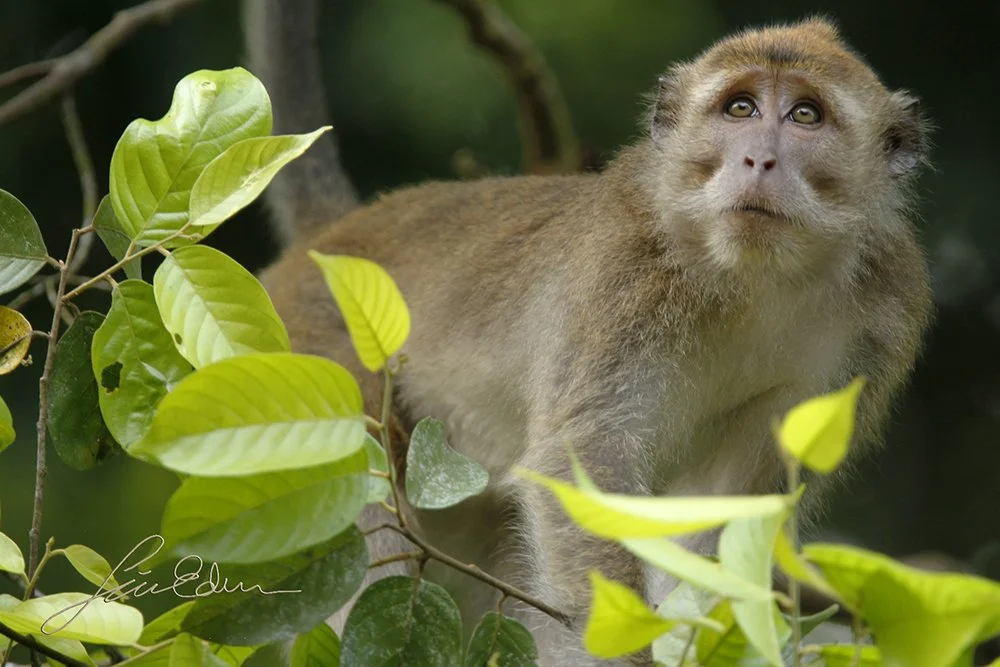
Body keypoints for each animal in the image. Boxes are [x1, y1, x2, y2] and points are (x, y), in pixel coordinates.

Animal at [243, 2, 932, 664]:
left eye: (805, 116)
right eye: (740, 108)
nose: (758, 158)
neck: (751, 277)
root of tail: (331, 240)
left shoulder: (880, 320)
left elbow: (727, 506)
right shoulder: (623, 277)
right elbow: (581, 462)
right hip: (318, 353)